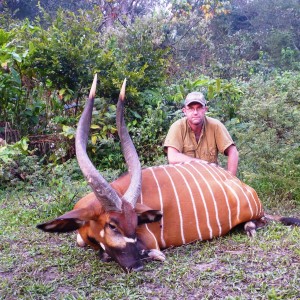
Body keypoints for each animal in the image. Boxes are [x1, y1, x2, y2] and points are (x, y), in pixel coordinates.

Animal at [37, 75, 300, 272]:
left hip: (255, 215)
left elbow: (112, 253)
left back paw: (250, 228)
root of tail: (243, 185)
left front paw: (154, 255)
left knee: (258, 222)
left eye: (135, 223)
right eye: (112, 225)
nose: (136, 265)